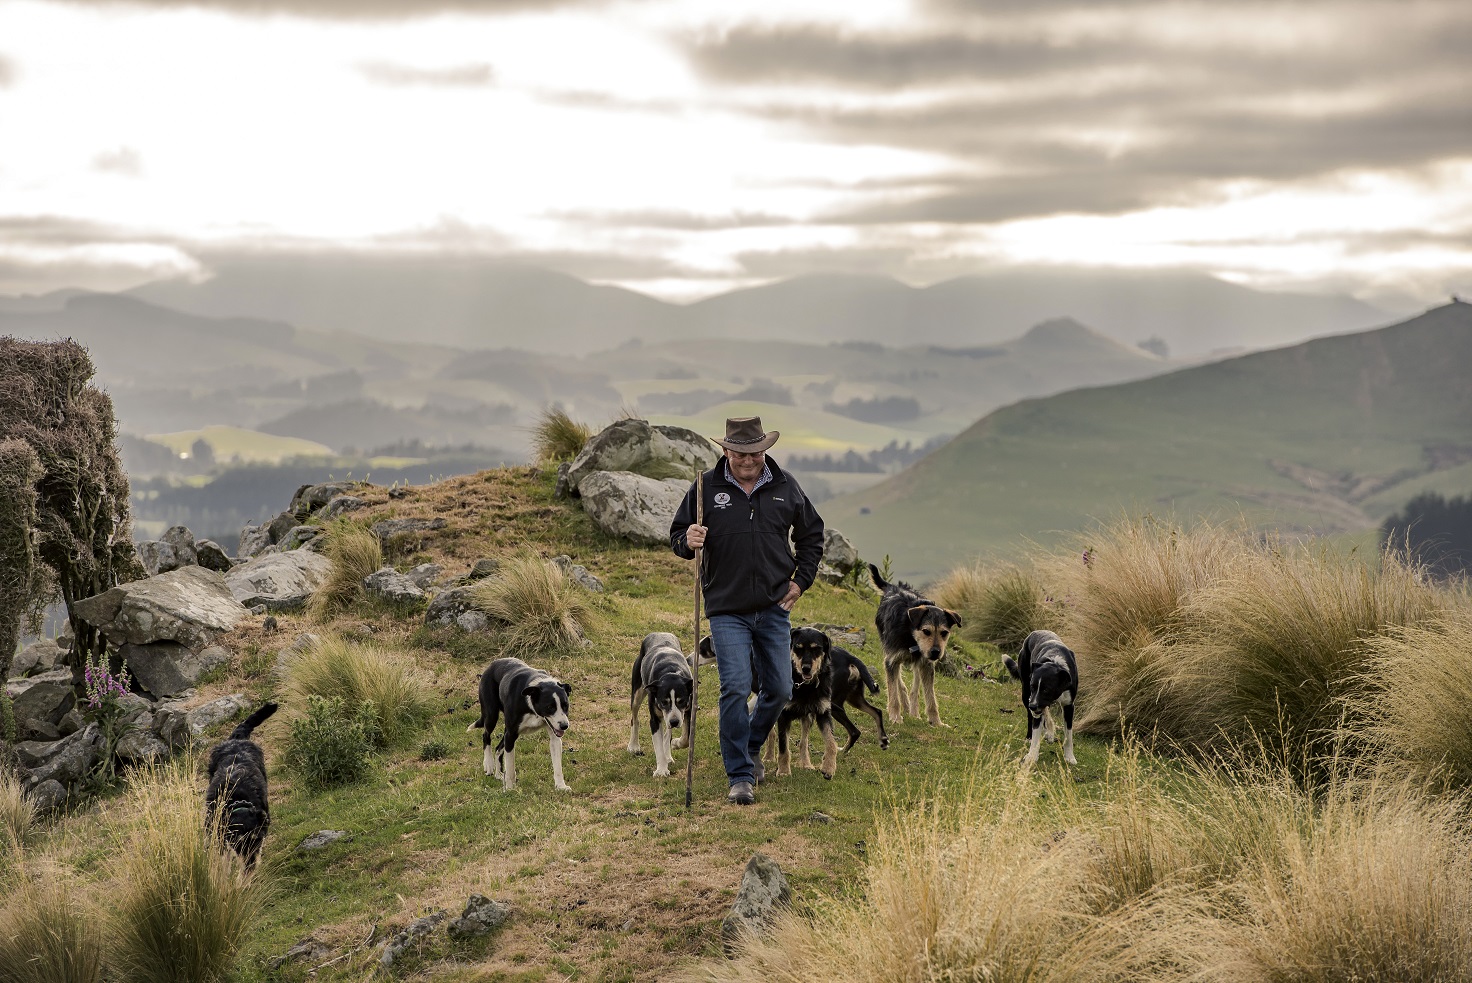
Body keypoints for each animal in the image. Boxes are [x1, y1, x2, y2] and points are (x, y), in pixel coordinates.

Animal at [468, 659, 571, 788]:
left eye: (565, 705)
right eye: (550, 707)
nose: (564, 726)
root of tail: (493, 664)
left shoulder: (554, 737)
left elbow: (557, 766)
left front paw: (561, 786)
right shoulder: (511, 735)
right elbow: (510, 767)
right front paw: (510, 788)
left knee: (498, 748)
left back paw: (499, 774)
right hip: (491, 715)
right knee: (486, 735)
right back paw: (489, 764)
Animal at [627, 632, 694, 776]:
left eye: (681, 701)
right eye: (664, 702)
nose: (675, 722)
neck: (670, 672)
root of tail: (658, 633)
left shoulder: (688, 711)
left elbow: (686, 738)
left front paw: (675, 744)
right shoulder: (655, 719)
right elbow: (657, 746)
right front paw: (662, 770)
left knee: (667, 732)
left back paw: (668, 754)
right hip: (637, 693)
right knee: (634, 718)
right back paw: (633, 746)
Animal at [865, 565, 959, 726]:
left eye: (944, 633)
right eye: (926, 631)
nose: (936, 652)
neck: (910, 633)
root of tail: (894, 587)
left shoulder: (927, 664)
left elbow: (931, 698)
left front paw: (936, 722)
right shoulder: (891, 659)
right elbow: (893, 692)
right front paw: (895, 717)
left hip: (918, 664)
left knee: (915, 687)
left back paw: (913, 711)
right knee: (899, 683)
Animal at [1000, 629, 1083, 765]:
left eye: (1046, 690)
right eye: (1033, 687)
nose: (1032, 706)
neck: (1054, 663)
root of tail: (1035, 632)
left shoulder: (1069, 706)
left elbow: (1069, 734)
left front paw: (1070, 757)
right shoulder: (1034, 698)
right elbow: (1036, 730)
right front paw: (1032, 756)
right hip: (1026, 693)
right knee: (1031, 716)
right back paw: (1031, 736)